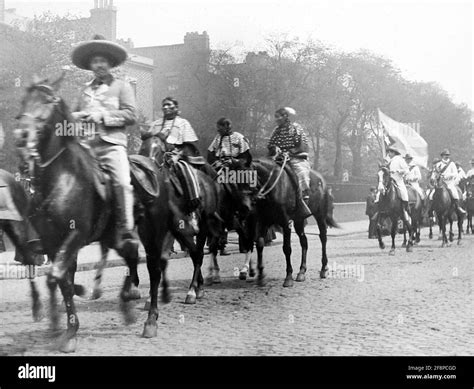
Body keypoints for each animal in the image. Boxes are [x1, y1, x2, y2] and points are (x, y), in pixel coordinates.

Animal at [14, 76, 141, 352]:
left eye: (47, 101)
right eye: (24, 99)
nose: (21, 136)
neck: (62, 178)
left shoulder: (75, 234)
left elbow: (57, 277)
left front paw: (68, 327)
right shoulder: (52, 241)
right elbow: (61, 280)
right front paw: (64, 327)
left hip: (120, 232)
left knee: (133, 254)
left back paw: (128, 304)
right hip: (108, 237)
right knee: (129, 256)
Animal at [237, 155, 336, 288]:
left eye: (247, 177)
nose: (243, 208)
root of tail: (322, 181)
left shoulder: (286, 223)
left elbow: (287, 248)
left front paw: (288, 277)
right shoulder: (263, 222)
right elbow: (260, 244)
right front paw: (261, 276)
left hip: (320, 216)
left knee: (323, 238)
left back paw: (323, 269)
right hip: (299, 220)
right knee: (304, 241)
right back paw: (301, 272)